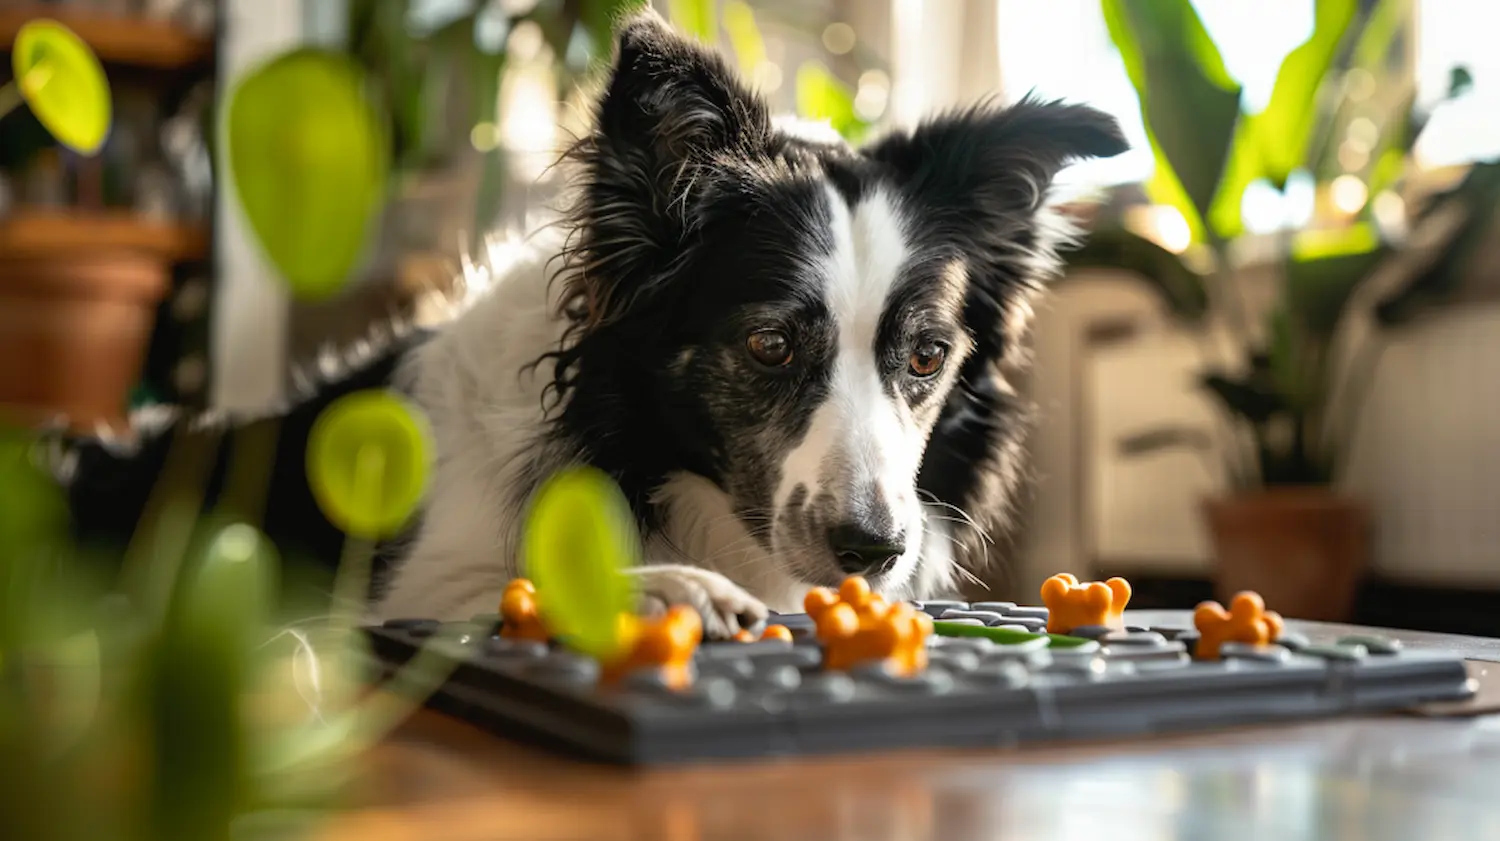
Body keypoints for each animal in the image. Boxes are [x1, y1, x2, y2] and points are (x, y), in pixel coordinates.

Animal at [49, 11, 1128, 635]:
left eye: (927, 355)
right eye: (770, 343)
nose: (874, 549)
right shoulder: (413, 584)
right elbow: (519, 581)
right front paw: (666, 587)